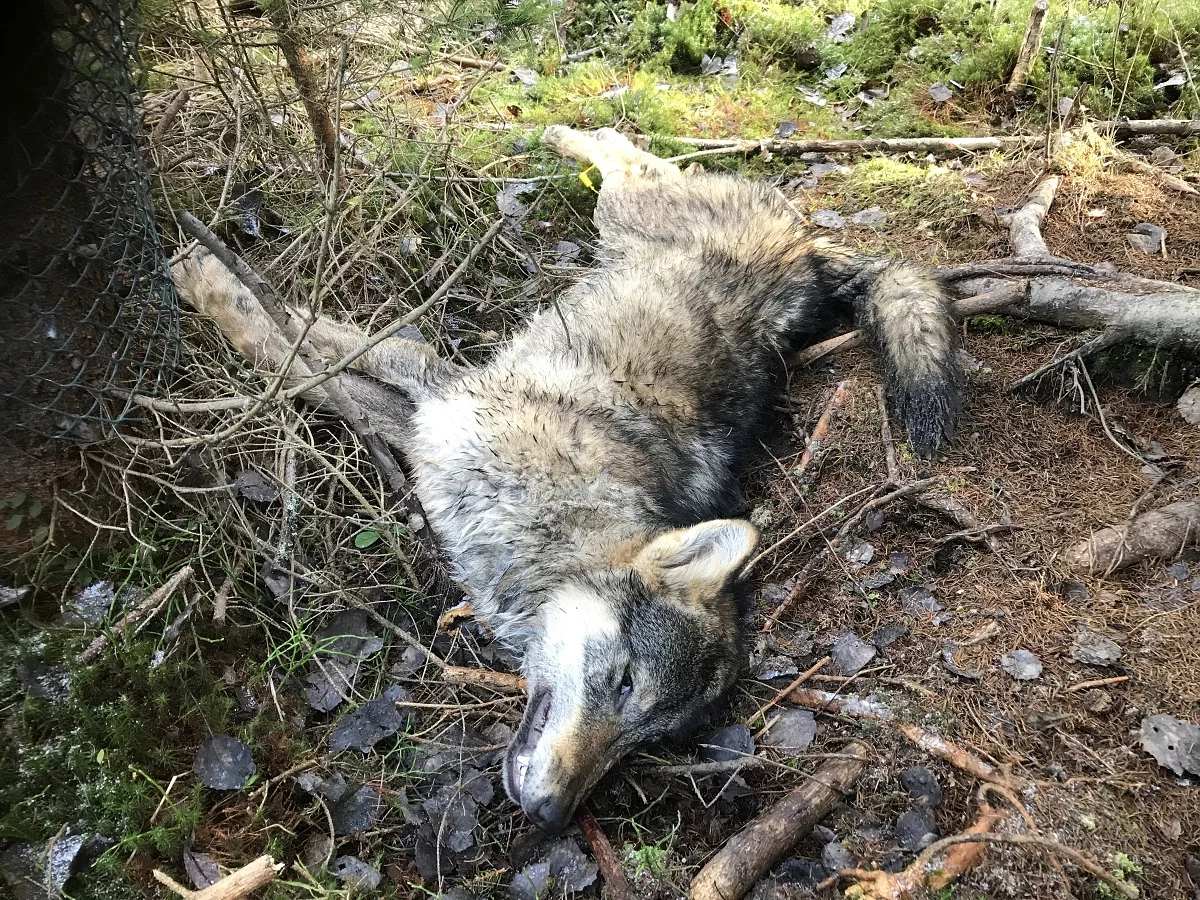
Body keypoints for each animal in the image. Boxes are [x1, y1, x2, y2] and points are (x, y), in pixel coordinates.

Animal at [174, 123, 960, 835]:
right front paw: (199, 272)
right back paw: (555, 133)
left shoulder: (425, 414)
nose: (552, 816)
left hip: (626, 217)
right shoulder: (433, 392)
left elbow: (298, 357)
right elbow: (287, 337)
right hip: (624, 213)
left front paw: (201, 277)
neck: (554, 523)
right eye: (622, 682)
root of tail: (806, 249)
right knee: (622, 147)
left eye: (644, 742)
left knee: (623, 149)